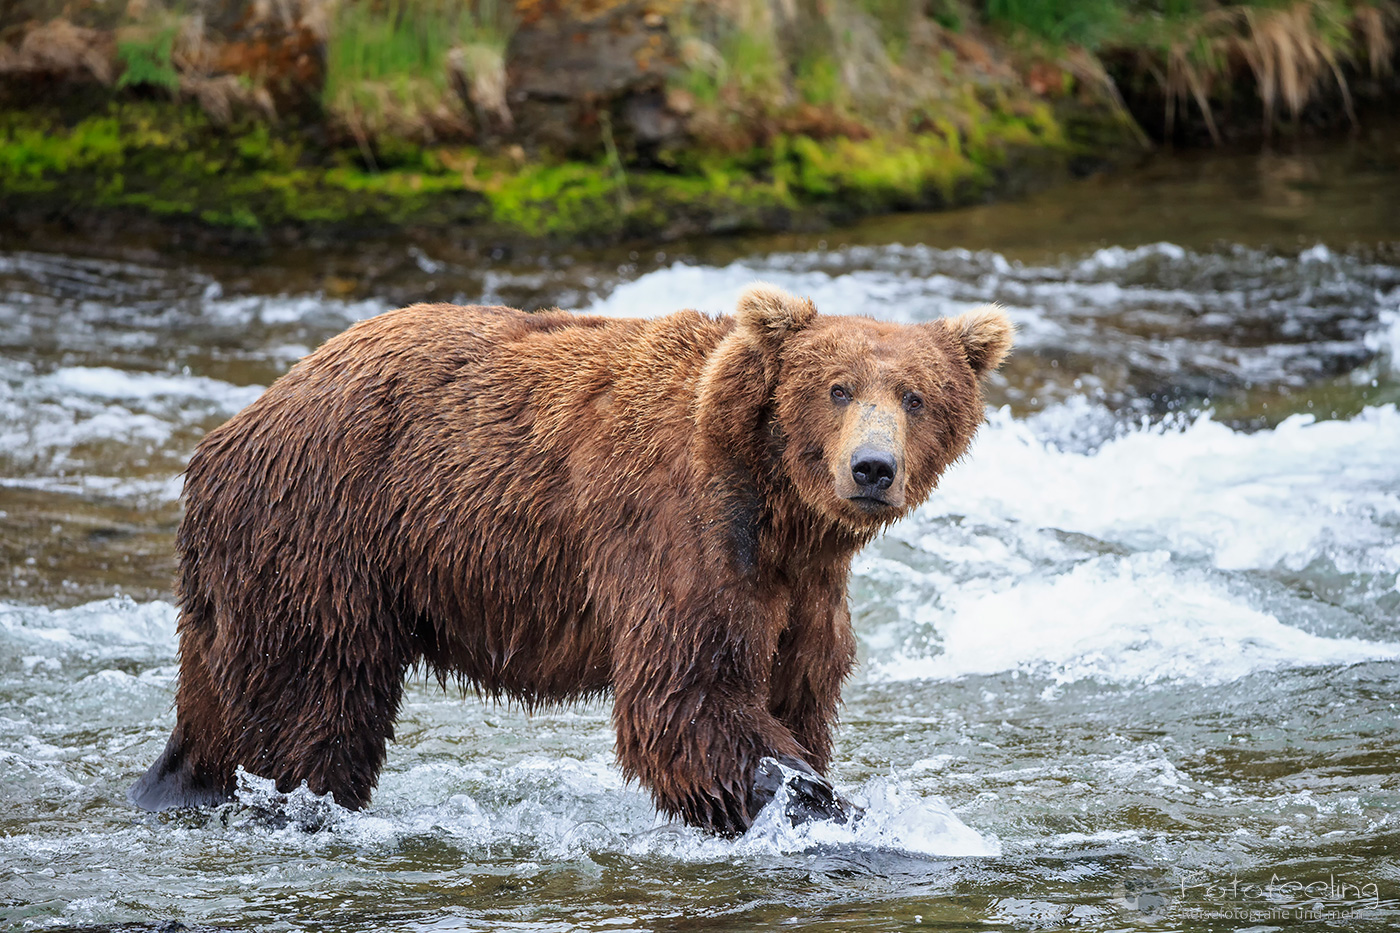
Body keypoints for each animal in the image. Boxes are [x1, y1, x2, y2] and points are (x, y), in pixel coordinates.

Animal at [130, 283, 1012, 835]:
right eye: (836, 387)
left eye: (916, 396)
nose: (872, 468)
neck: (779, 506)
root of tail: (236, 425)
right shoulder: (681, 529)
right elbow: (689, 698)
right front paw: (846, 810)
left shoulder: (804, 588)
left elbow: (795, 689)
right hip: (325, 534)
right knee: (318, 702)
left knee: (219, 701)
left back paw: (174, 785)